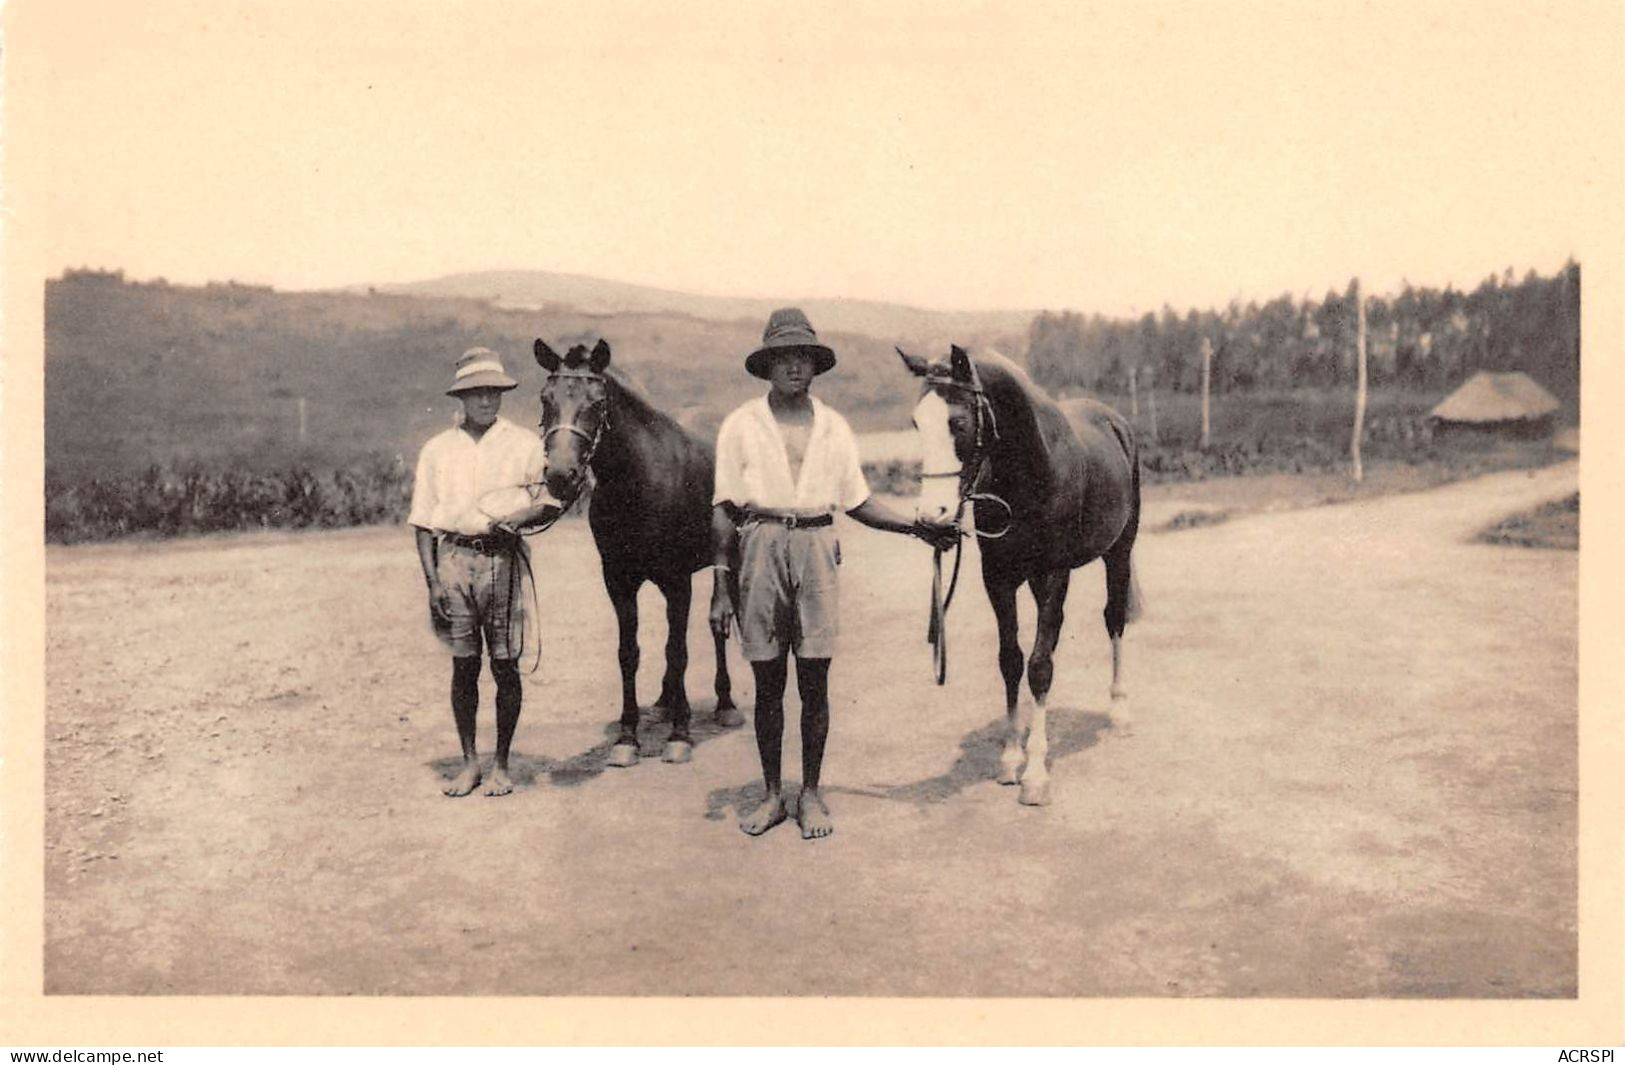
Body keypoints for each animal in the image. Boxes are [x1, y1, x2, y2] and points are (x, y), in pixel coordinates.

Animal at [533, 341, 744, 767]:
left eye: (597, 403)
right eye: (546, 399)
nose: (561, 476)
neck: (638, 479)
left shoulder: (677, 580)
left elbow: (677, 650)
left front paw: (679, 735)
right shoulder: (619, 580)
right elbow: (628, 653)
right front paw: (627, 737)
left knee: (721, 624)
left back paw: (725, 704)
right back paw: (664, 702)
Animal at [903, 346, 1144, 803]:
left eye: (958, 423)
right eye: (915, 423)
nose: (931, 517)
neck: (1031, 475)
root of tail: (1115, 421)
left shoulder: (1053, 575)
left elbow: (1040, 666)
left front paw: (1035, 774)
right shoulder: (998, 578)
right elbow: (1012, 660)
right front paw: (1012, 758)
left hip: (1118, 552)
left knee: (1114, 619)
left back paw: (1121, 712)